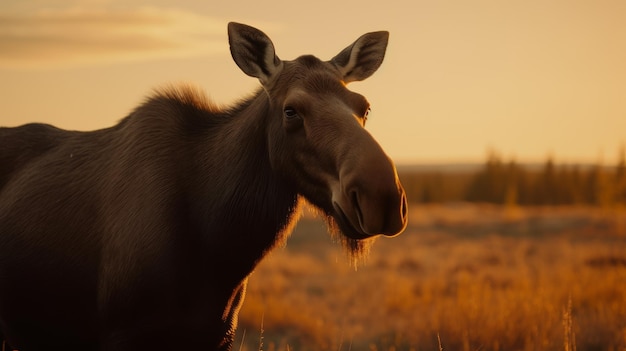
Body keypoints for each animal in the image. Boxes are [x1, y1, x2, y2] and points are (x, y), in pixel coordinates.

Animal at [0, 23, 408, 350]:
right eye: (291, 110)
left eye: (364, 106)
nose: (381, 197)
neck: (220, 246)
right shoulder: (122, 332)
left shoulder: (217, 334)